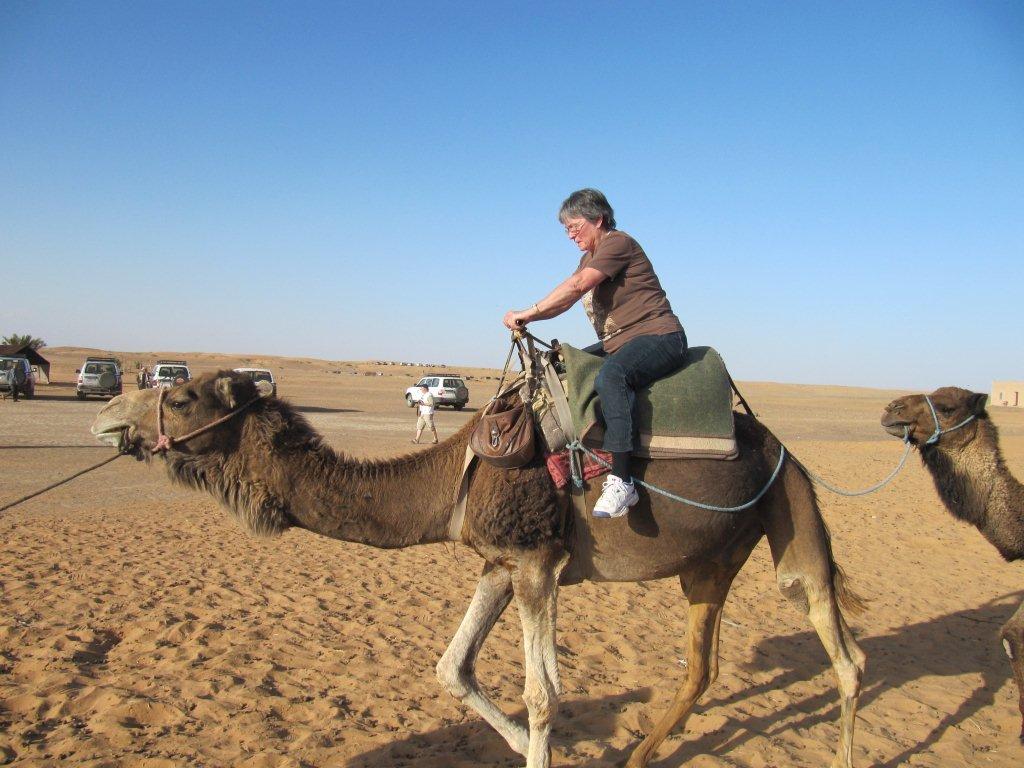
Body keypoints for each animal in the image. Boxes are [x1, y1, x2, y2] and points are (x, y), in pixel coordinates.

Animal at [91, 371, 866, 768]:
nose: (106, 415)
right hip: (709, 559)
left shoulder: (535, 563)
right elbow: (451, 669)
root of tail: (782, 446)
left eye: (180, 397)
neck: (454, 478)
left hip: (791, 508)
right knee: (702, 666)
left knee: (841, 648)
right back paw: (638, 757)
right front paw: (532, 749)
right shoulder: (498, 564)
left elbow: (544, 695)